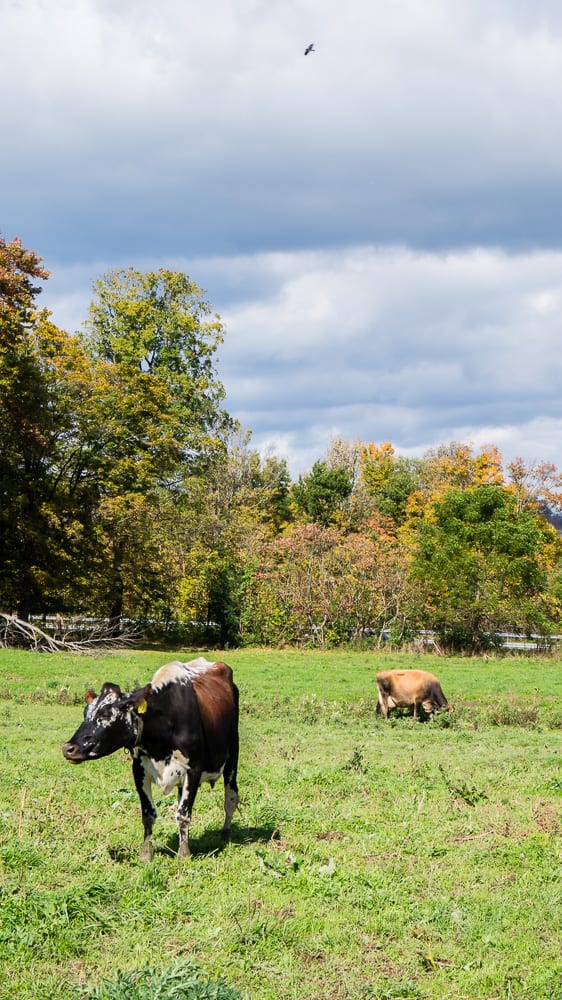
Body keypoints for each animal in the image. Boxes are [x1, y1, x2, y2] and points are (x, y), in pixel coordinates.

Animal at [62, 657, 239, 861]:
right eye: (85, 713)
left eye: (105, 714)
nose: (68, 748)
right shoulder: (139, 770)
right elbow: (148, 814)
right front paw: (146, 854)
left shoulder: (193, 770)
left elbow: (183, 814)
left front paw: (184, 854)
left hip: (233, 753)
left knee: (231, 798)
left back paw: (226, 835)